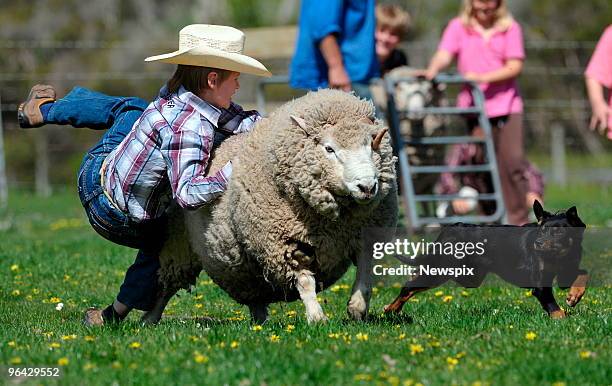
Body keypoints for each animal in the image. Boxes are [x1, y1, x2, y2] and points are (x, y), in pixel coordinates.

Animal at [143, 89, 402, 324]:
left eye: (371, 146)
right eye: (329, 149)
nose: (367, 187)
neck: (336, 223)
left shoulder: (367, 235)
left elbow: (365, 274)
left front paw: (357, 309)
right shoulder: (285, 243)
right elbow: (305, 281)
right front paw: (317, 318)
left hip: (245, 268)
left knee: (254, 294)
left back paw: (260, 324)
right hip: (179, 244)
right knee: (167, 285)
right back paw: (149, 319)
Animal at [384, 201, 592, 318]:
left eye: (558, 231)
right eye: (541, 231)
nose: (538, 243)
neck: (560, 256)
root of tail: (451, 228)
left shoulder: (566, 272)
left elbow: (583, 273)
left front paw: (574, 296)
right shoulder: (540, 285)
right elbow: (556, 309)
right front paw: (563, 318)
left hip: (468, 276)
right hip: (443, 269)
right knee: (409, 286)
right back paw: (390, 309)